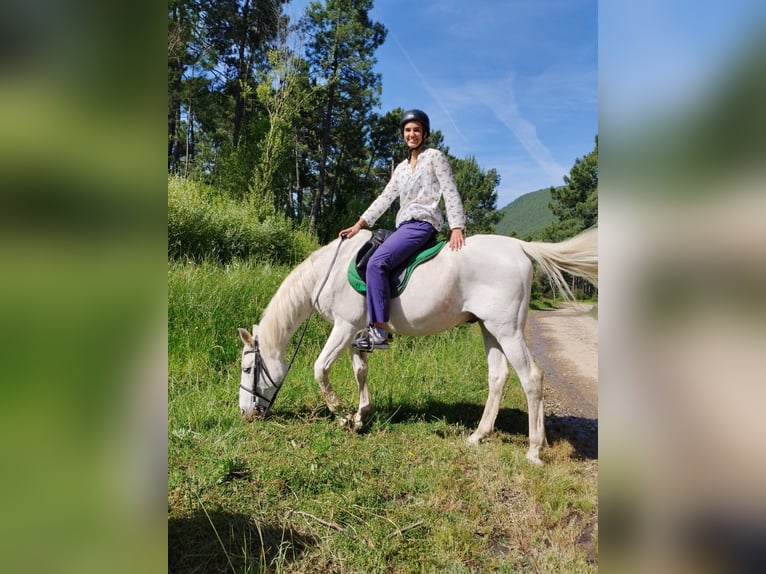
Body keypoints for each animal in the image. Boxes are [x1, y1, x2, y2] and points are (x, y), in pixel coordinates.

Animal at [237, 227, 596, 466]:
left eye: (248, 367)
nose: (245, 414)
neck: (329, 271)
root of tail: (519, 248)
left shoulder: (343, 326)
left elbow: (320, 370)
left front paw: (342, 416)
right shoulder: (356, 331)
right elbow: (360, 371)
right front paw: (361, 415)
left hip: (507, 331)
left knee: (531, 378)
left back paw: (534, 450)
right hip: (489, 329)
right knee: (498, 377)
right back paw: (480, 436)